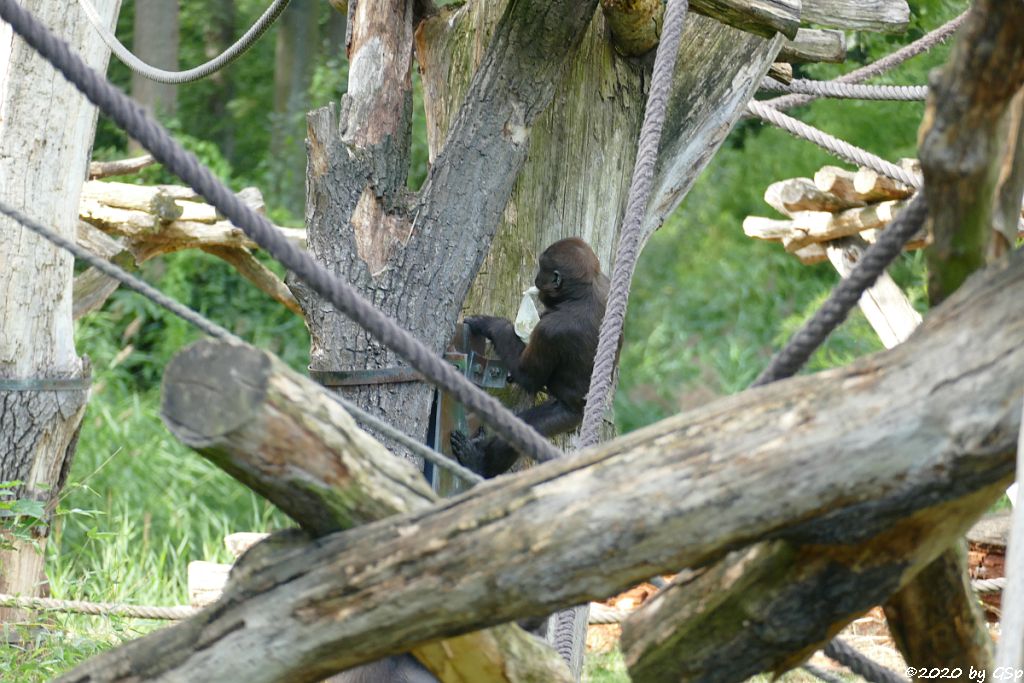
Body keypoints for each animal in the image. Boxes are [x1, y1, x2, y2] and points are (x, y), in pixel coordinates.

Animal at [450, 237, 606, 479]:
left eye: (542, 269)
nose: (535, 279)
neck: (581, 293)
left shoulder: (550, 331)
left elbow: (529, 377)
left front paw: (493, 325)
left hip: (568, 415)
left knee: (522, 428)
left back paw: (478, 464)